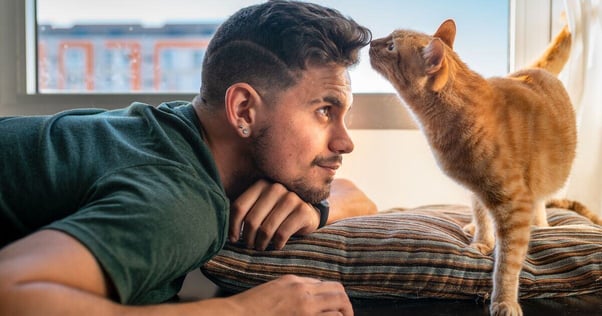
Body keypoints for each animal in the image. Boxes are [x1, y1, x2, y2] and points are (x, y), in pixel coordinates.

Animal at [368, 20, 596, 316]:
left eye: (391, 46)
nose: (370, 41)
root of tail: (533, 70)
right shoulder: (477, 190)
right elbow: (482, 218)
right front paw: (482, 242)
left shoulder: (514, 204)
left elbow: (507, 263)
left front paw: (504, 300)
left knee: (540, 203)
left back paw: (540, 224)